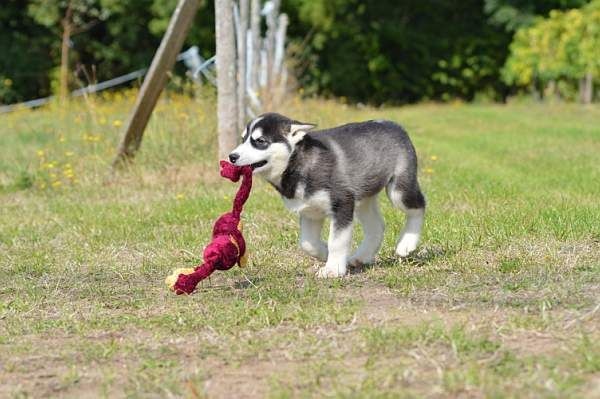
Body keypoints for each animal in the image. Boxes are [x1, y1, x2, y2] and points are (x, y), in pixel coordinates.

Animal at [227, 112, 424, 278]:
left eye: (260, 141)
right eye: (243, 139)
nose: (232, 156)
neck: (299, 164)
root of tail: (392, 124)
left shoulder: (342, 203)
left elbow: (337, 241)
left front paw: (333, 269)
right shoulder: (309, 211)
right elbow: (307, 243)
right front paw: (326, 253)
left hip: (399, 190)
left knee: (419, 206)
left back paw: (406, 244)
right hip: (362, 198)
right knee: (377, 226)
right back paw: (361, 256)